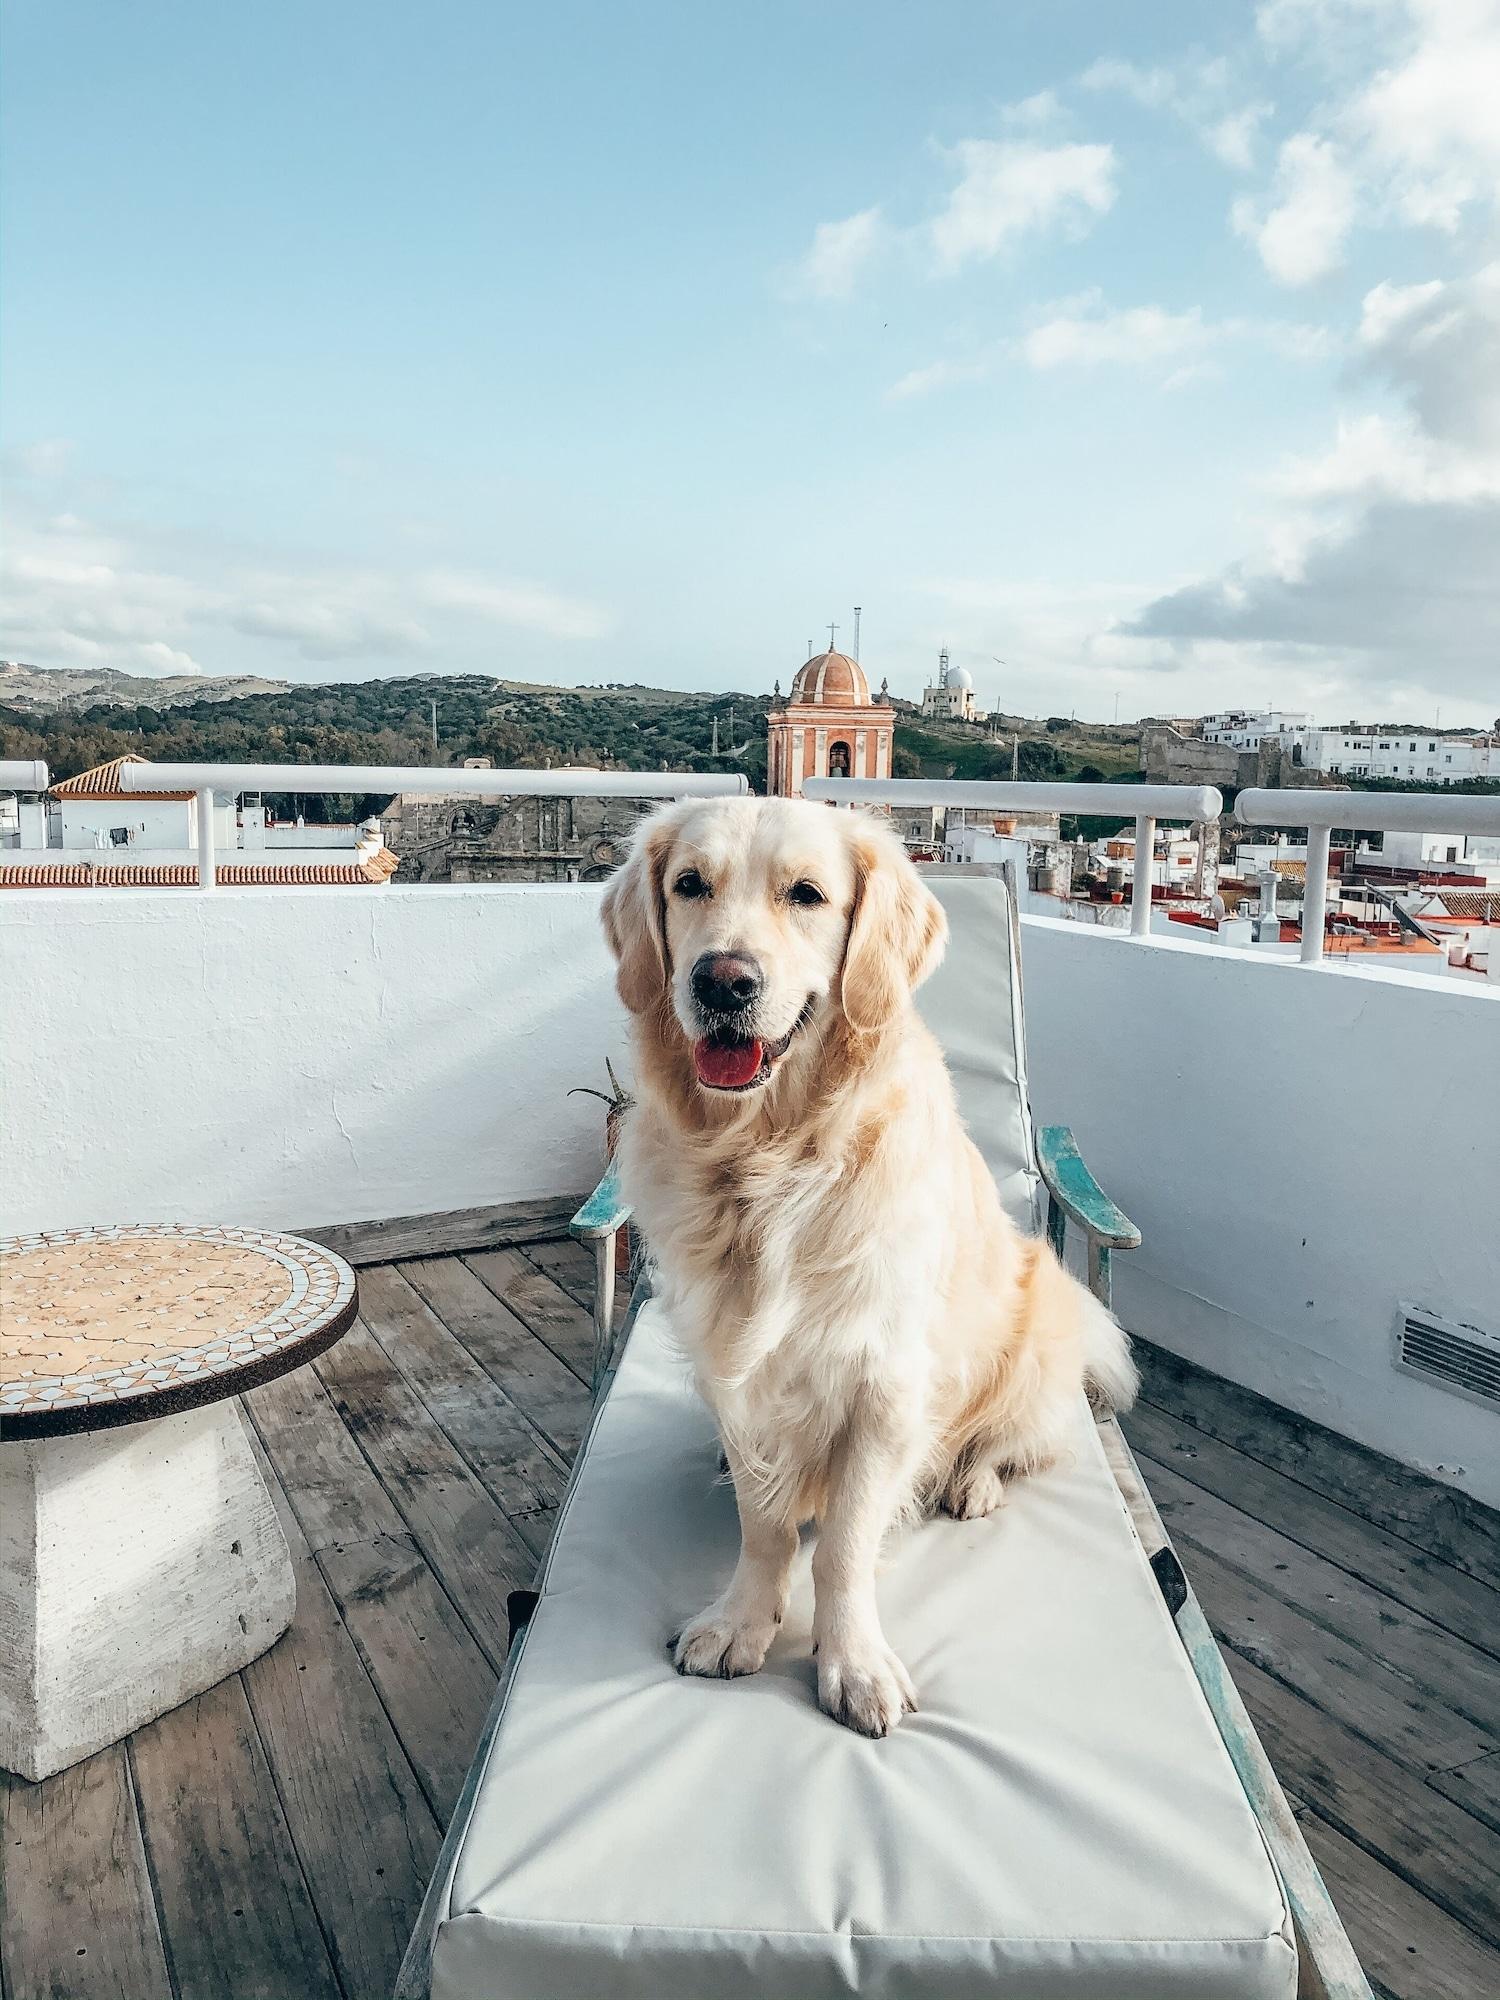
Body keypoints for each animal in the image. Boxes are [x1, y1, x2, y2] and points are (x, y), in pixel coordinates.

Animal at [604, 796, 1136, 1736]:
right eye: (689, 885)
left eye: (807, 895)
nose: (722, 982)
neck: (769, 1160)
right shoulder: (738, 1379)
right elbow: (767, 1528)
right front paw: (743, 1621)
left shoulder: (884, 1387)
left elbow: (843, 1547)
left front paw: (851, 1662)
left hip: (1040, 1334)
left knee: (1013, 1443)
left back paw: (973, 1483)